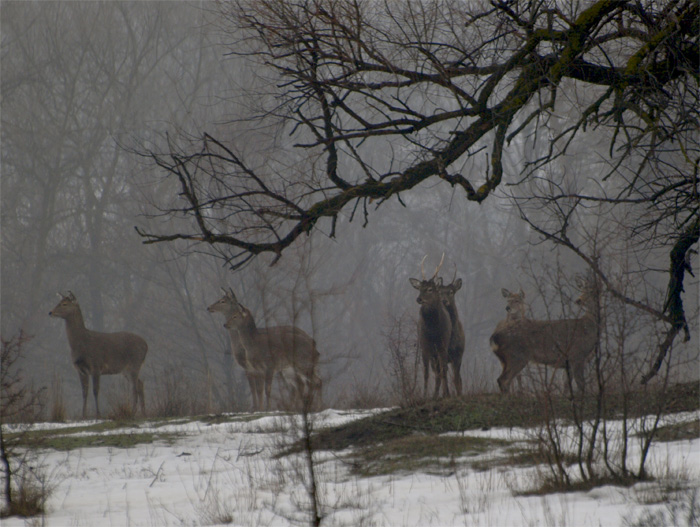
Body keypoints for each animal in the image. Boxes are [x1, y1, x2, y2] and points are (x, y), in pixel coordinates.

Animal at [49, 290, 149, 418]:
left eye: (65, 304)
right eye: (59, 301)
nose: (51, 312)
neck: (81, 344)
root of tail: (146, 345)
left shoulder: (95, 365)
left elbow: (95, 391)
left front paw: (98, 414)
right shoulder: (80, 369)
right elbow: (84, 392)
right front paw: (83, 415)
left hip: (135, 363)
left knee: (134, 387)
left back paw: (133, 411)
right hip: (125, 369)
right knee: (140, 383)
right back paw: (143, 413)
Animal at [408, 256, 452, 400]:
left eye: (430, 289)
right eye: (419, 288)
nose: (419, 299)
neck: (433, 331)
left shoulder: (443, 345)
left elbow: (443, 370)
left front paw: (446, 394)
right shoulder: (424, 346)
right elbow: (426, 373)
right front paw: (425, 394)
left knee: (441, 370)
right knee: (435, 371)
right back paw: (435, 394)